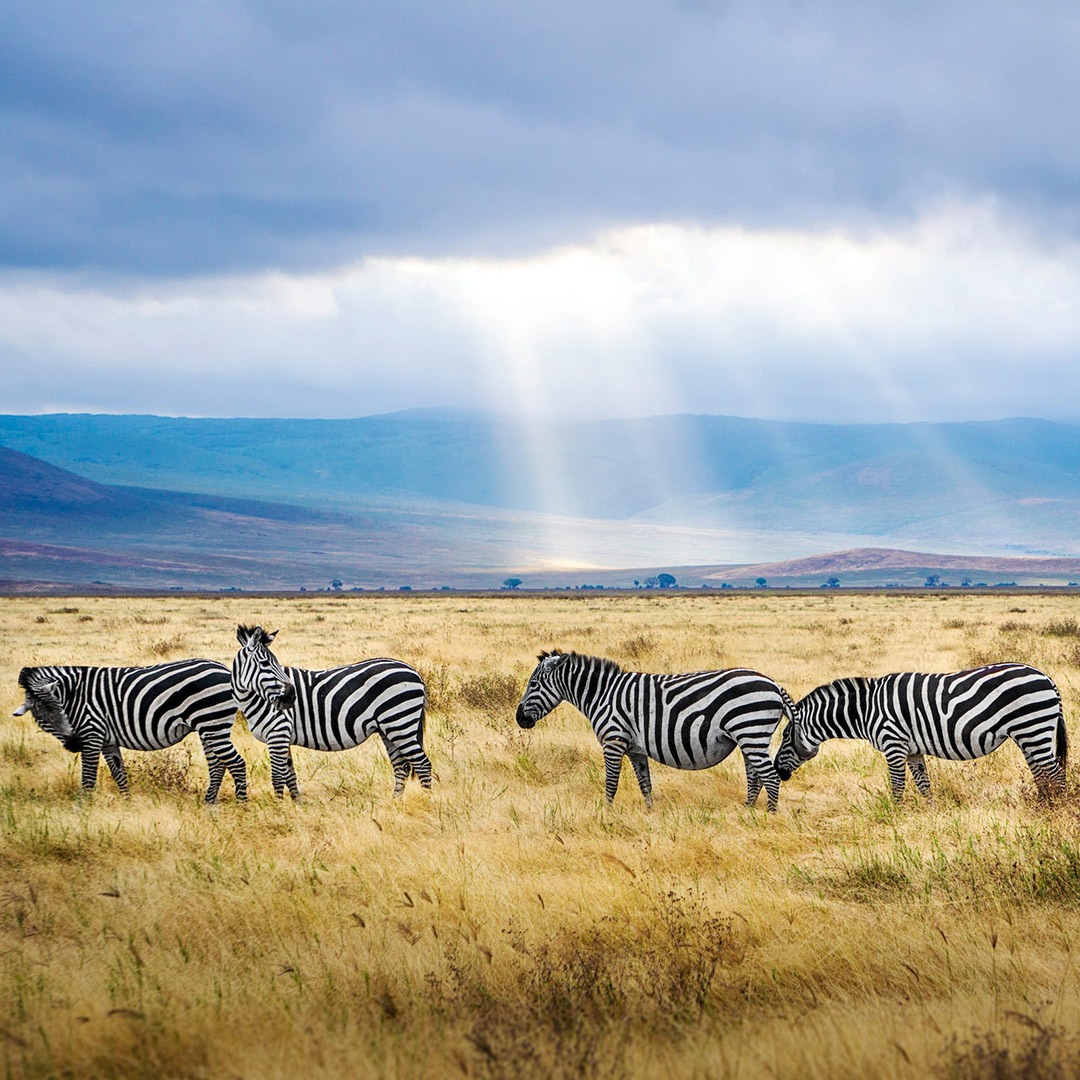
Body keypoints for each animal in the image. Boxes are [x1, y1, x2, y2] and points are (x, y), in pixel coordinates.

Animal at [11, 656, 247, 803]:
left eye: (61, 710)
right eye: (43, 718)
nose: (74, 743)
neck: (74, 695)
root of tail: (225, 669)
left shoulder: (92, 734)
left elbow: (88, 778)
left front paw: (83, 810)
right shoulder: (107, 741)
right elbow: (119, 774)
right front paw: (127, 804)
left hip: (213, 724)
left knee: (236, 763)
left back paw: (241, 805)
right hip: (208, 727)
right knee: (217, 765)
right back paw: (209, 803)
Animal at [231, 630, 429, 799]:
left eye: (276, 663)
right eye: (265, 664)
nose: (291, 697)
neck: (256, 699)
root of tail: (413, 671)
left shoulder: (278, 733)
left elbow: (278, 777)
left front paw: (279, 808)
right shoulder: (282, 736)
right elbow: (290, 776)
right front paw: (297, 805)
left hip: (400, 723)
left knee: (422, 764)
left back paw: (427, 800)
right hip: (388, 729)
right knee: (401, 766)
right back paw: (395, 802)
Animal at [514, 648, 794, 812]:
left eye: (533, 684)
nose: (519, 719)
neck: (602, 694)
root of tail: (773, 684)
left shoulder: (613, 741)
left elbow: (611, 782)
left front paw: (606, 814)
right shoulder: (636, 749)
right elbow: (645, 783)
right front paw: (649, 814)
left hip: (751, 731)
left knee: (770, 777)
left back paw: (769, 816)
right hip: (749, 737)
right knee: (755, 776)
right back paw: (747, 811)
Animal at [773, 656, 1067, 803]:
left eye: (785, 736)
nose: (778, 771)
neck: (866, 710)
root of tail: (1046, 677)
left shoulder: (893, 744)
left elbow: (897, 786)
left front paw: (896, 816)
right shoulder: (912, 750)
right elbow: (924, 785)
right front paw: (930, 814)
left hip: (1033, 727)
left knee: (1055, 774)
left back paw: (1056, 811)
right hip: (1028, 734)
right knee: (1042, 774)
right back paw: (1042, 807)